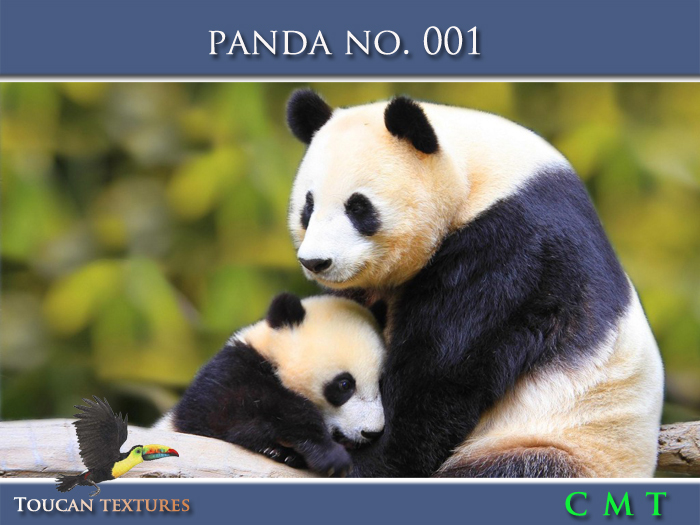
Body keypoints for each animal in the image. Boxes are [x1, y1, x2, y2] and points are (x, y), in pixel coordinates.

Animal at [158, 292, 387, 477]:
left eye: (380, 382)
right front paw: (329, 455)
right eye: (344, 385)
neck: (272, 357)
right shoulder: (227, 374)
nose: (372, 432)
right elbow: (228, 414)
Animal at [284, 89, 665, 478]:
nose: (316, 261)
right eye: (308, 207)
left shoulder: (511, 247)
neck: (477, 175)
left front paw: (358, 459)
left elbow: (441, 372)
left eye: (358, 207)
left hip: (559, 444)